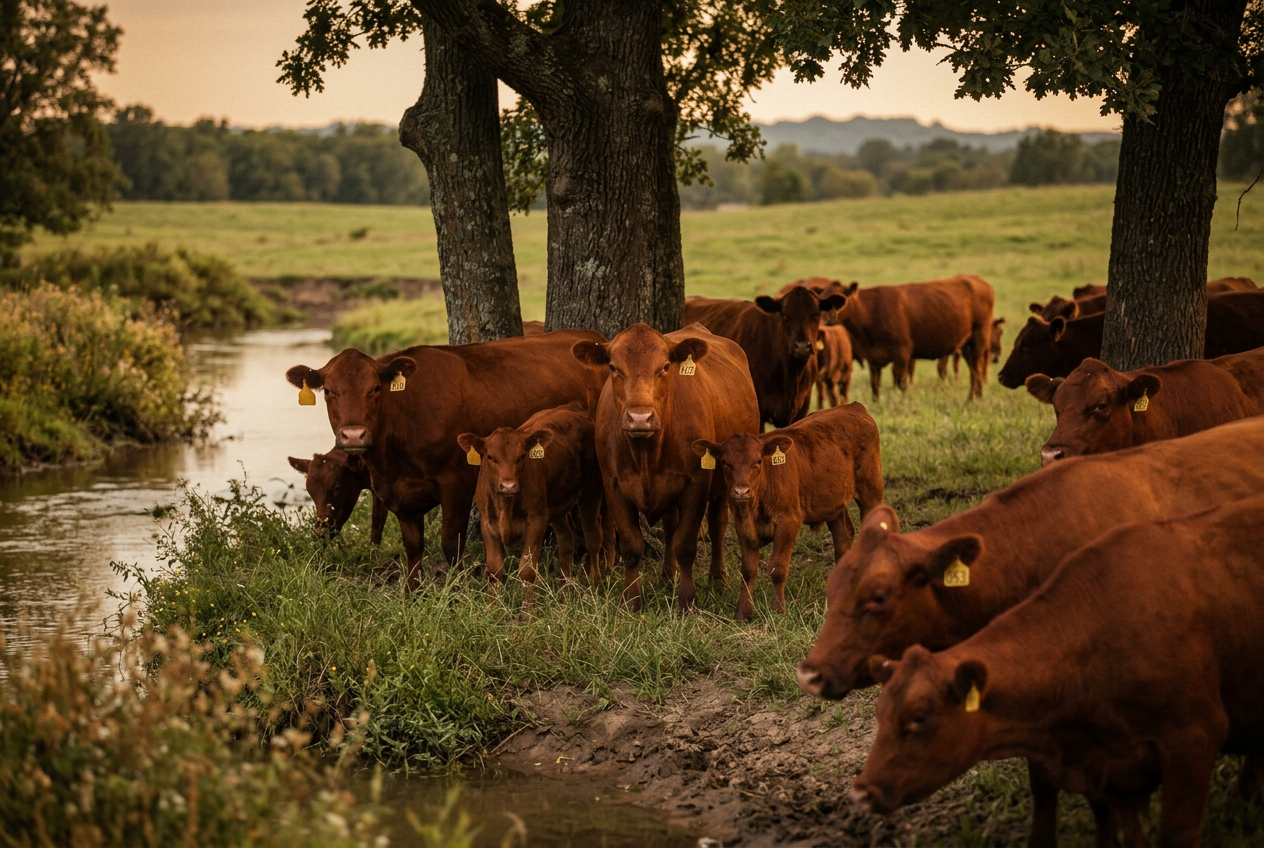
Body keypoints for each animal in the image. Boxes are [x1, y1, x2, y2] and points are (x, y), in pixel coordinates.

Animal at [457, 402, 610, 606]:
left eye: (522, 456)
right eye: (490, 457)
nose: (508, 485)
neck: (506, 506)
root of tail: (573, 407)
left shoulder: (537, 519)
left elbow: (527, 569)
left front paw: (528, 610)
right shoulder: (487, 522)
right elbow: (494, 569)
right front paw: (492, 606)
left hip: (591, 490)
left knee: (593, 536)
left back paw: (595, 583)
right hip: (556, 507)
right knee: (566, 539)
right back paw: (565, 591)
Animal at [571, 323, 760, 612]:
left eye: (666, 366)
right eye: (613, 367)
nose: (640, 418)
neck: (646, 453)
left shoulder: (696, 484)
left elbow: (686, 544)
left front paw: (687, 600)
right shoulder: (614, 485)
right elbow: (632, 545)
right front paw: (631, 599)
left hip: (725, 481)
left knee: (717, 525)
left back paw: (718, 579)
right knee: (671, 526)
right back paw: (667, 577)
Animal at [691, 403, 883, 621]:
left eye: (758, 461)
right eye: (725, 462)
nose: (741, 491)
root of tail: (854, 406)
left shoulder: (788, 522)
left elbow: (778, 568)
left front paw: (778, 610)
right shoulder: (742, 525)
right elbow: (748, 570)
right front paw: (743, 612)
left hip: (871, 489)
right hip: (833, 501)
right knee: (843, 536)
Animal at [839, 275, 995, 401]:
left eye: (839, 299)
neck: (871, 310)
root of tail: (980, 281)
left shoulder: (902, 352)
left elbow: (901, 381)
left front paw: (903, 400)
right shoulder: (873, 357)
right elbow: (875, 384)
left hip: (979, 337)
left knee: (977, 368)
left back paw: (971, 399)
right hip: (966, 345)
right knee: (975, 369)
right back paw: (977, 396)